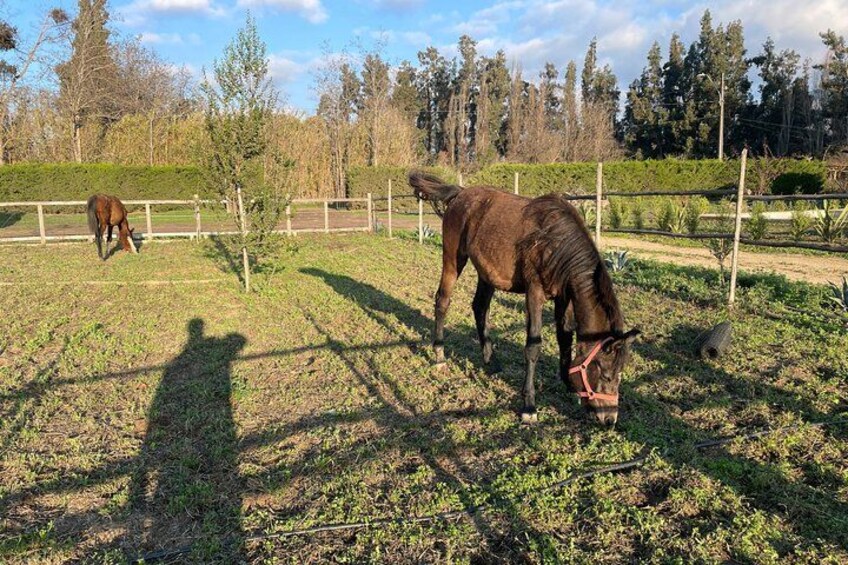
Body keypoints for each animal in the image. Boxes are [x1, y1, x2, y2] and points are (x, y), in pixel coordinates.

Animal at [409, 172, 639, 427]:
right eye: (606, 374)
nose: (609, 419)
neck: (554, 243)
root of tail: (460, 193)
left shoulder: (564, 297)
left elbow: (564, 338)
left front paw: (569, 385)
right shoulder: (535, 293)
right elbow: (533, 346)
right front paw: (529, 405)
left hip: (487, 273)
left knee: (480, 307)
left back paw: (491, 361)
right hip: (452, 260)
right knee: (442, 301)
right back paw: (439, 355)